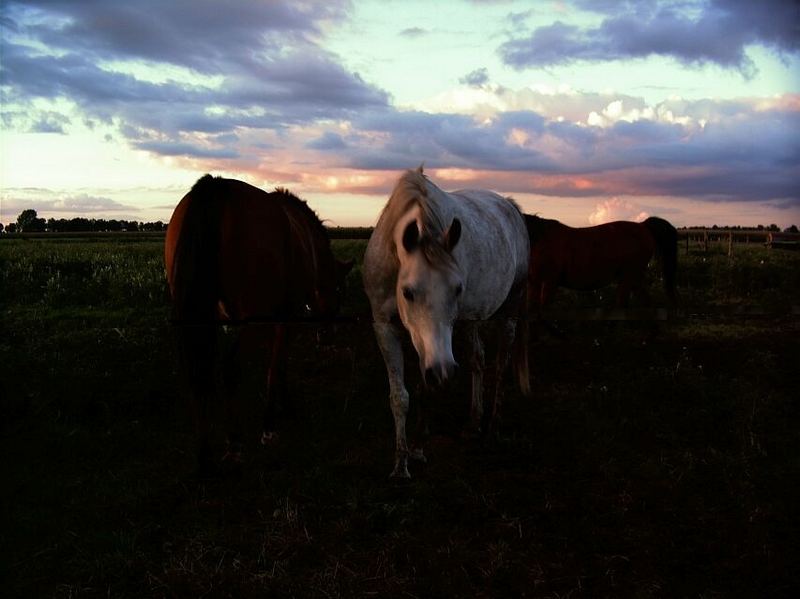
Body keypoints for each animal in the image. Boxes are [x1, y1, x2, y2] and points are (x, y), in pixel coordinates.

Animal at [166, 173, 350, 474]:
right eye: (339, 290)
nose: (328, 337)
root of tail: (216, 186)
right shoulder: (285, 318)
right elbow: (277, 365)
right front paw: (273, 420)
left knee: (197, 373)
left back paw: (204, 454)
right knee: (230, 368)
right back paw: (234, 443)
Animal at [364, 166, 532, 480]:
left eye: (457, 289)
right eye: (408, 292)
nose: (444, 371)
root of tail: (510, 206)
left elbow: (424, 389)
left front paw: (417, 447)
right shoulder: (385, 326)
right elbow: (400, 396)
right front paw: (402, 462)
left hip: (510, 308)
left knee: (500, 364)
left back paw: (492, 429)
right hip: (470, 320)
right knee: (478, 359)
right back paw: (473, 423)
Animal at [528, 214, 680, 310]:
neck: (540, 239)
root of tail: (643, 226)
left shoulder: (549, 282)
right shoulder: (535, 284)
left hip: (629, 277)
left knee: (622, 307)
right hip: (633, 280)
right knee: (645, 303)